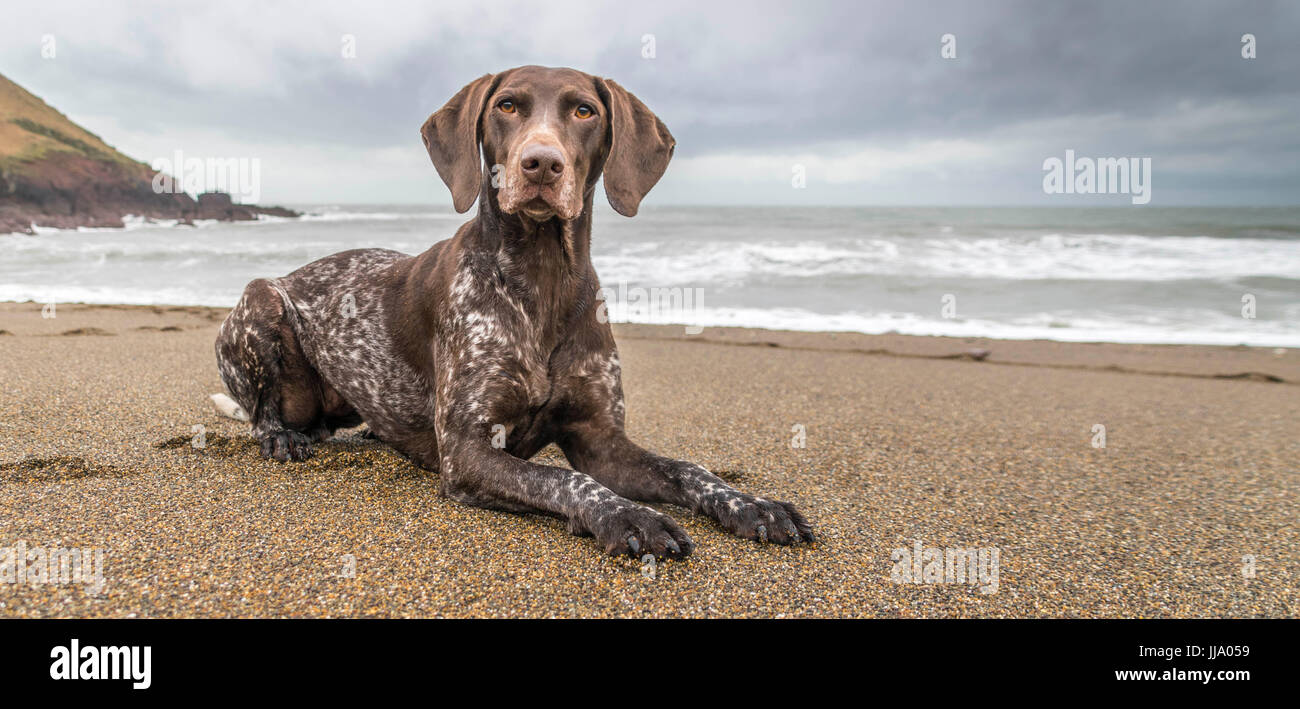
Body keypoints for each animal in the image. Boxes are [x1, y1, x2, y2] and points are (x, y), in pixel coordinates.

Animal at [218, 63, 816, 556]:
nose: (541, 163)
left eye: (585, 110)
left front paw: (753, 505)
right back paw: (279, 435)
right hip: (258, 299)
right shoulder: (468, 452)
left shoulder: (602, 442)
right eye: (506, 105)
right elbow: (567, 480)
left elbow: (689, 469)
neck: (544, 279)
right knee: (262, 410)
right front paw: (630, 516)